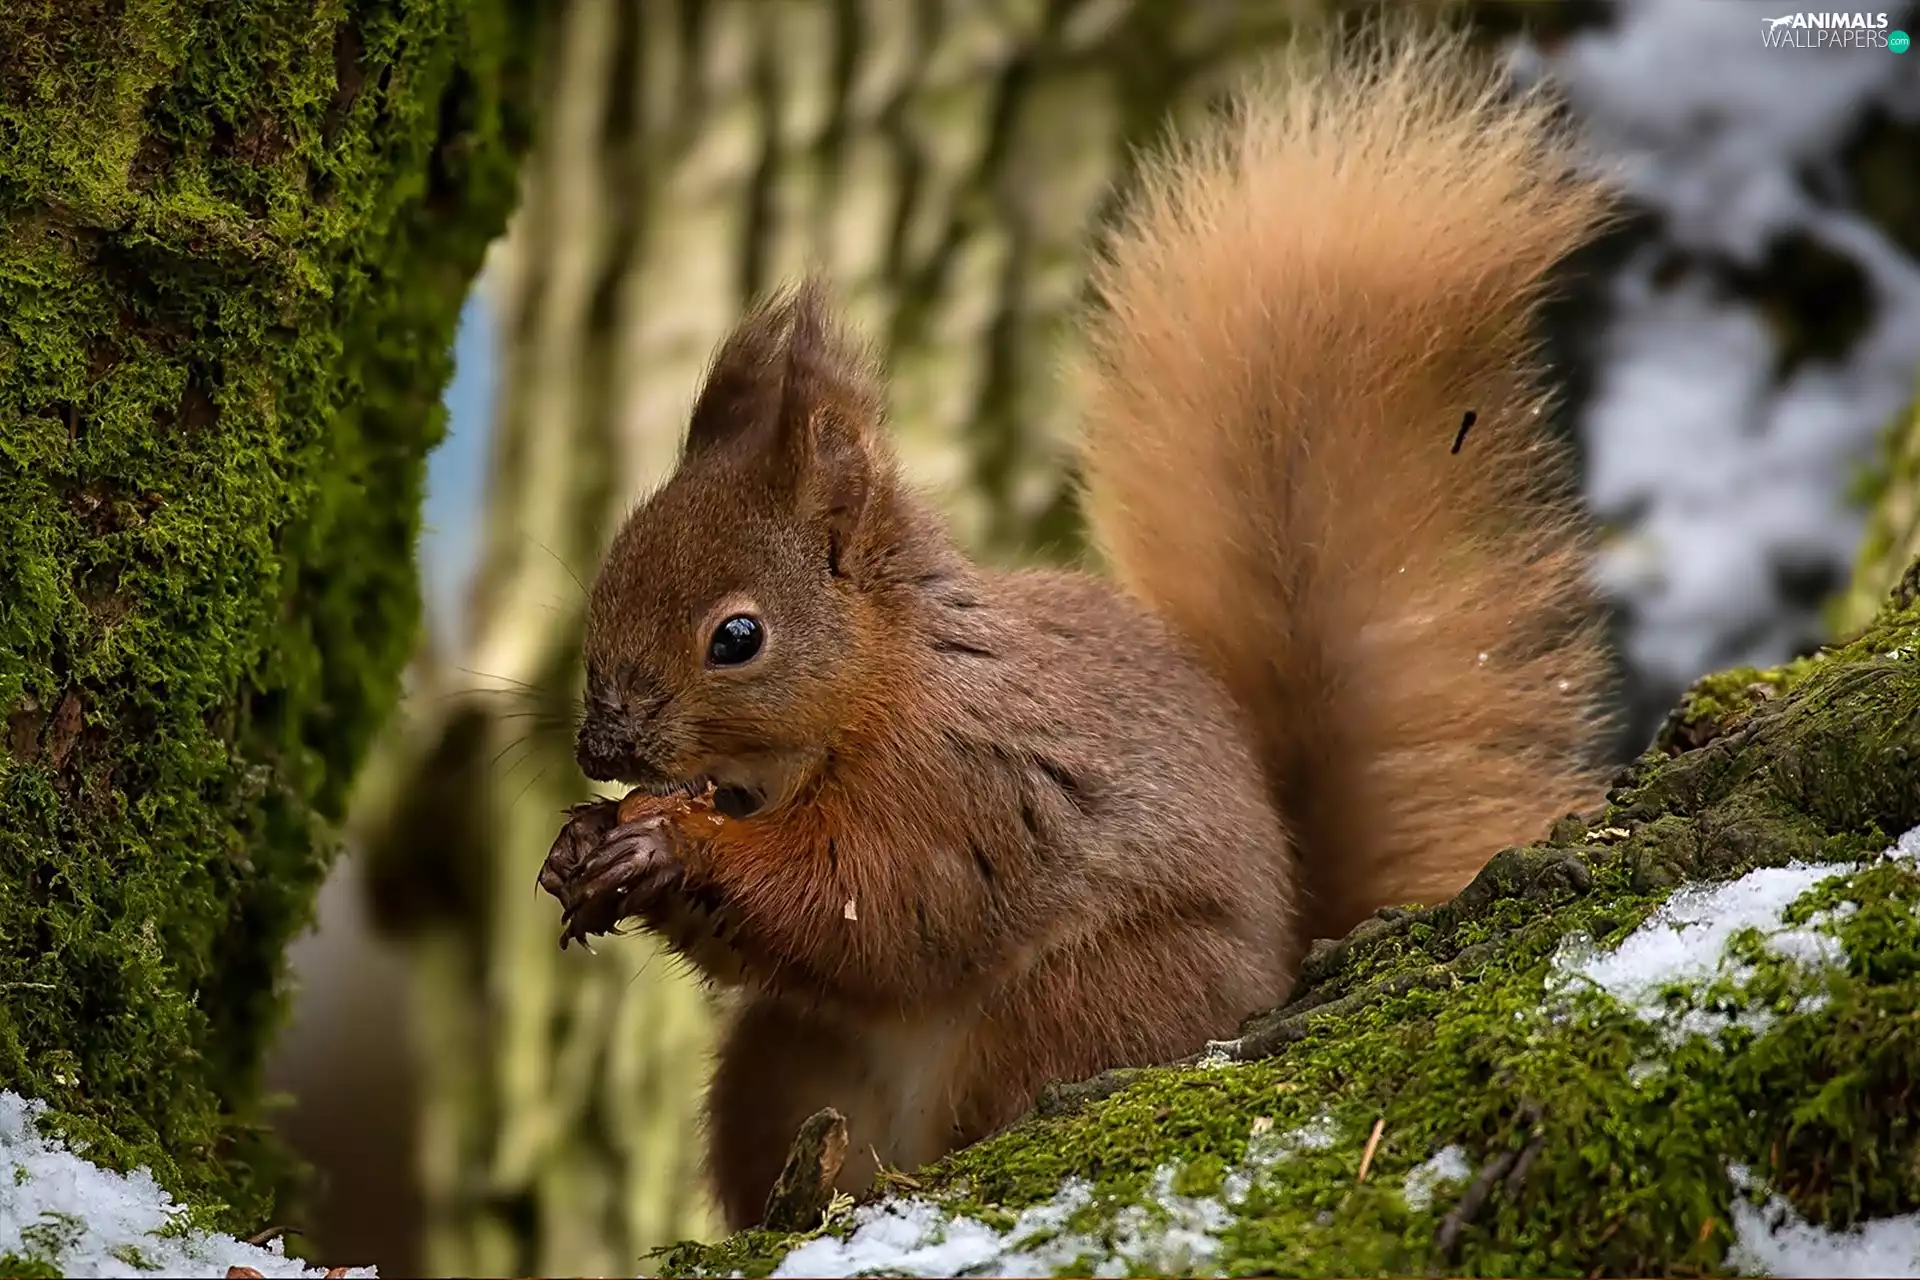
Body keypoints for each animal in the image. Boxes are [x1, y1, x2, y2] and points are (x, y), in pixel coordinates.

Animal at [555, 26, 1616, 1230]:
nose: (600, 745)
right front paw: (583, 846)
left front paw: (665, 841)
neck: (879, 687)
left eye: (736, 638)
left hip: (1088, 997)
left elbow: (878, 902)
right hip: (777, 1064)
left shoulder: (959, 782)